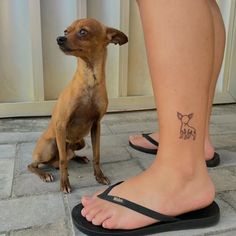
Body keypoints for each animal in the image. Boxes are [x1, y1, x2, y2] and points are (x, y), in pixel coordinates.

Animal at [28, 18, 128, 194]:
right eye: (66, 31)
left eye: (83, 32)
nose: (59, 38)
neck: (90, 80)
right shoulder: (61, 125)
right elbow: (63, 161)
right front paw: (64, 183)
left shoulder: (96, 125)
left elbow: (97, 155)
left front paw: (99, 176)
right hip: (50, 145)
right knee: (35, 164)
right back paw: (44, 174)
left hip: (80, 141)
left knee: (69, 153)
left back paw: (79, 157)